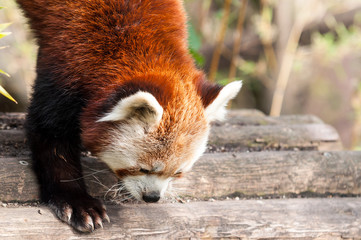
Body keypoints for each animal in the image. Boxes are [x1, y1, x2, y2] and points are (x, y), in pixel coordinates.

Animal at [17, 0, 242, 232]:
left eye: (177, 173)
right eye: (142, 168)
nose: (152, 197)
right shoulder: (67, 58)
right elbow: (50, 133)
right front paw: (76, 201)